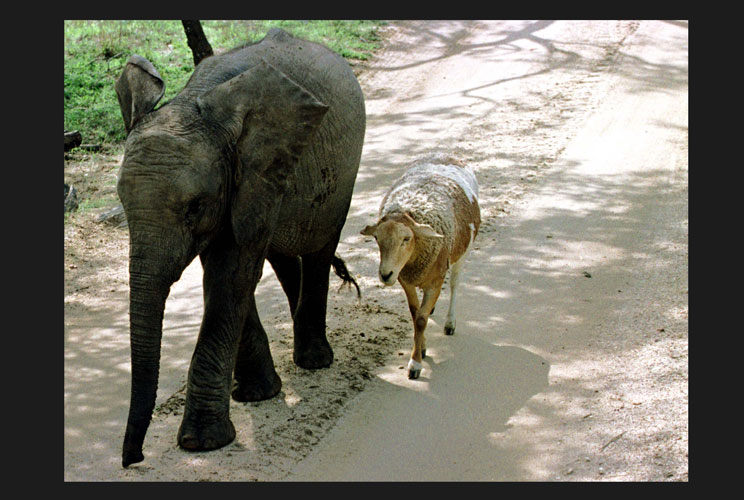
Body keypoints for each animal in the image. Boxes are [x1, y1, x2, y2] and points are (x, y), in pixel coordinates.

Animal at [362, 153, 482, 378]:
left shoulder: (435, 281)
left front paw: (415, 364)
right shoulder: (406, 280)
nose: (385, 275)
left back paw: (450, 322)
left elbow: (420, 320)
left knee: (454, 285)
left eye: (407, 238)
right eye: (376, 238)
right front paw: (422, 348)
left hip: (462, 253)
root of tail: (445, 155)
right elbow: (415, 314)